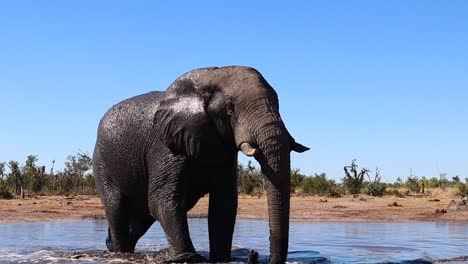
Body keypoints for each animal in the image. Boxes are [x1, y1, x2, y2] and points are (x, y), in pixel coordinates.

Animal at [93, 66, 308, 264]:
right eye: (230, 109)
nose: (254, 254)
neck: (212, 75)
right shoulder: (165, 145)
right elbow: (162, 200)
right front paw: (185, 258)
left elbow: (224, 204)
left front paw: (220, 259)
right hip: (102, 163)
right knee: (117, 208)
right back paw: (119, 253)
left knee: (140, 220)